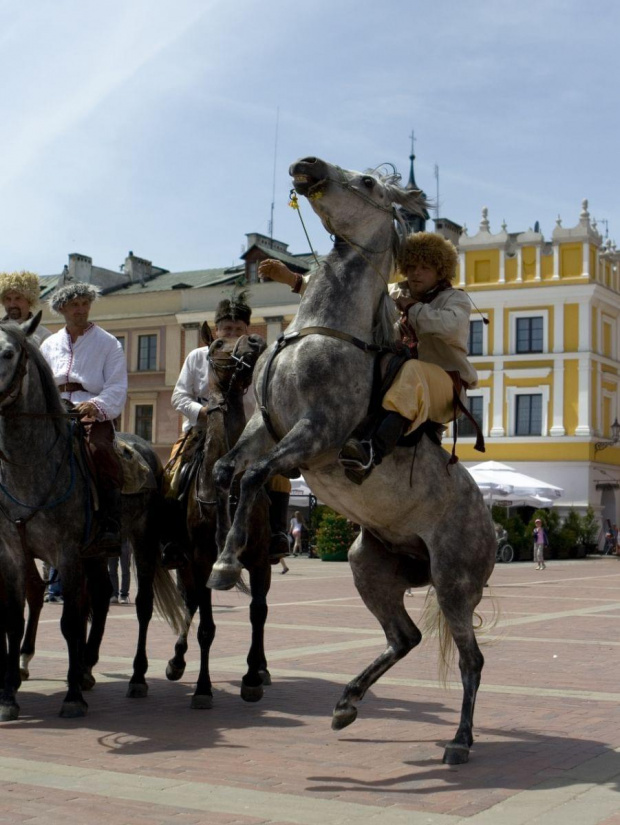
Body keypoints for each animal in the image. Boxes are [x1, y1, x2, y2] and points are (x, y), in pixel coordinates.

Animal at [211, 156, 496, 768]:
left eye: (367, 182)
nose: (307, 166)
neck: (321, 330)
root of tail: (491, 523)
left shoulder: (314, 434)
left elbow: (253, 475)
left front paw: (225, 565)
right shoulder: (262, 427)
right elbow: (226, 474)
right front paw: (228, 559)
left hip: (454, 583)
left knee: (471, 659)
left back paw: (460, 741)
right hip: (370, 567)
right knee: (405, 637)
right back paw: (346, 702)